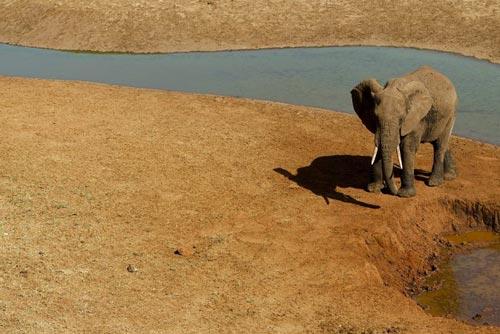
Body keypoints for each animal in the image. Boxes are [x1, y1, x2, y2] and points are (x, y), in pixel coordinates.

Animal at [352, 65, 458, 197]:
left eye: (402, 119)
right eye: (375, 117)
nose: (391, 190)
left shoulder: (416, 119)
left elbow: (406, 147)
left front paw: (405, 195)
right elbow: (380, 146)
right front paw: (374, 189)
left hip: (451, 115)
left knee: (440, 145)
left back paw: (434, 183)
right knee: (441, 142)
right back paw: (450, 176)